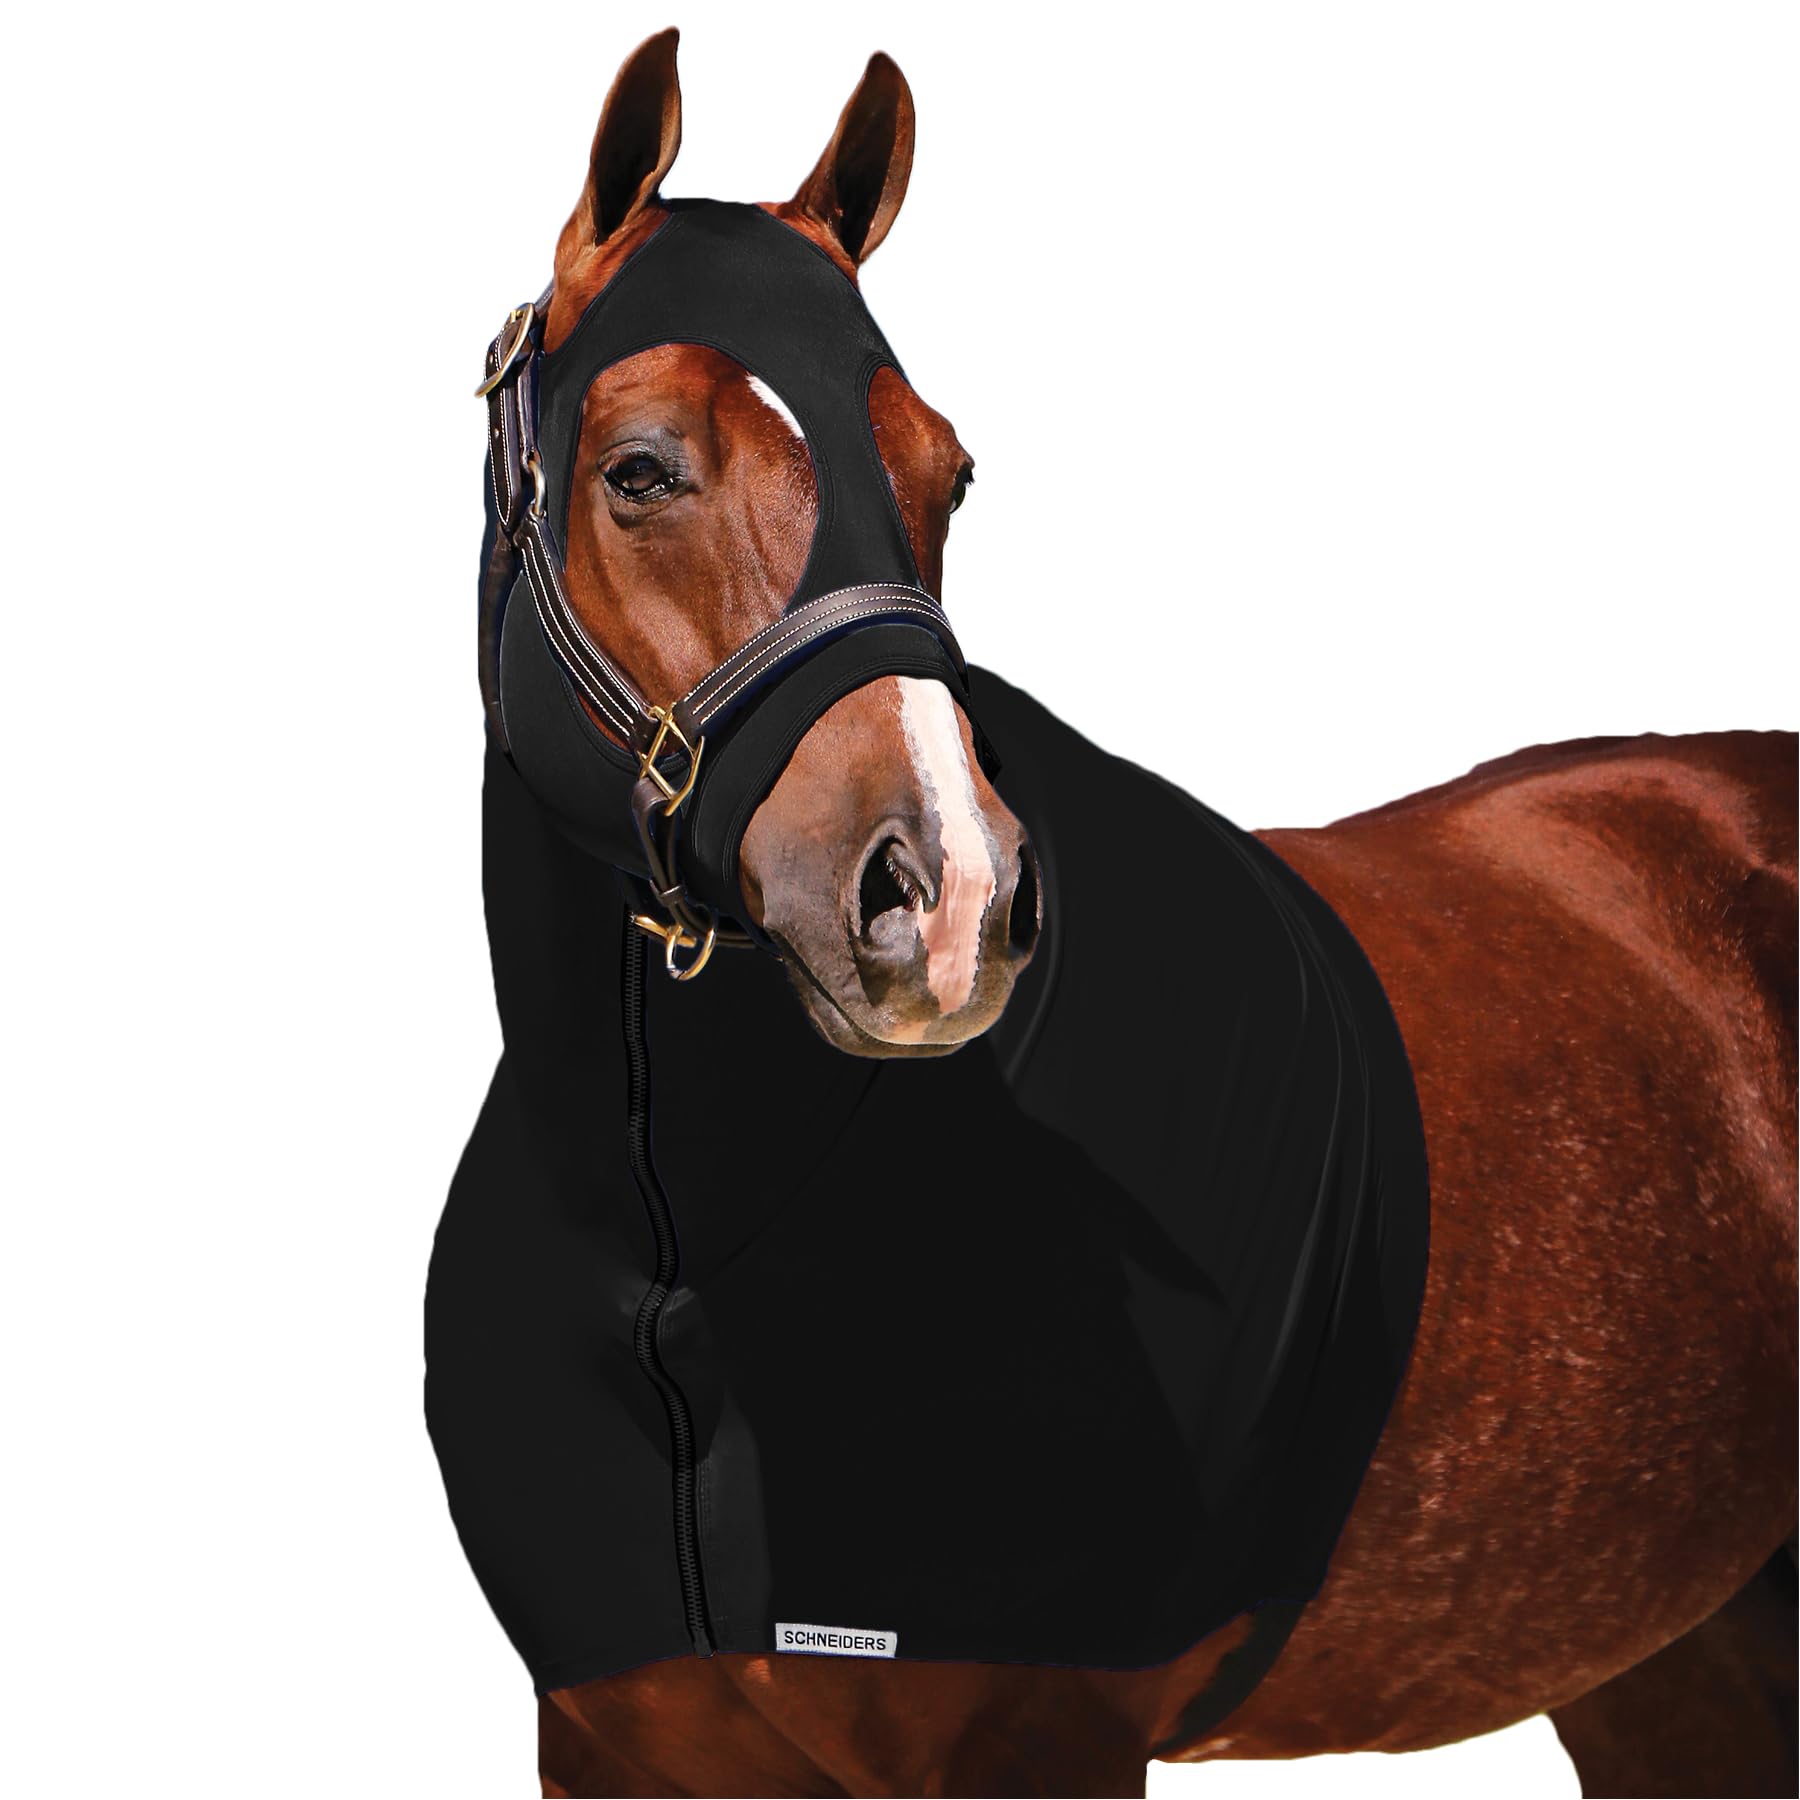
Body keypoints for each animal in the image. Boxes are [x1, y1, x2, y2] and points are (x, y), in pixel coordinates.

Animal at [447, 31, 1797, 1798]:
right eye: (639, 472)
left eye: (946, 472)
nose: (949, 897)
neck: (680, 1246)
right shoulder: (615, 1746)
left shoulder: (1043, 1737)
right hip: (1674, 1658)